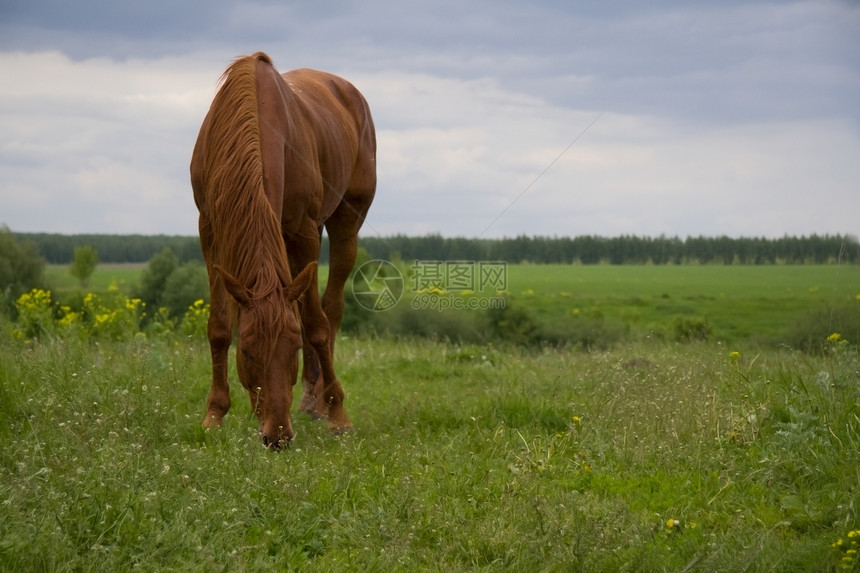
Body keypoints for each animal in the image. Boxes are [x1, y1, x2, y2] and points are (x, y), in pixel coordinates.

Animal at [190, 51, 378, 446]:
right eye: (247, 351)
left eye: (292, 350)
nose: (277, 435)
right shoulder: (209, 228)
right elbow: (219, 325)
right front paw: (214, 414)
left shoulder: (304, 232)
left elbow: (316, 325)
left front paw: (339, 415)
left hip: (344, 223)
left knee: (330, 307)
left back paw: (318, 403)